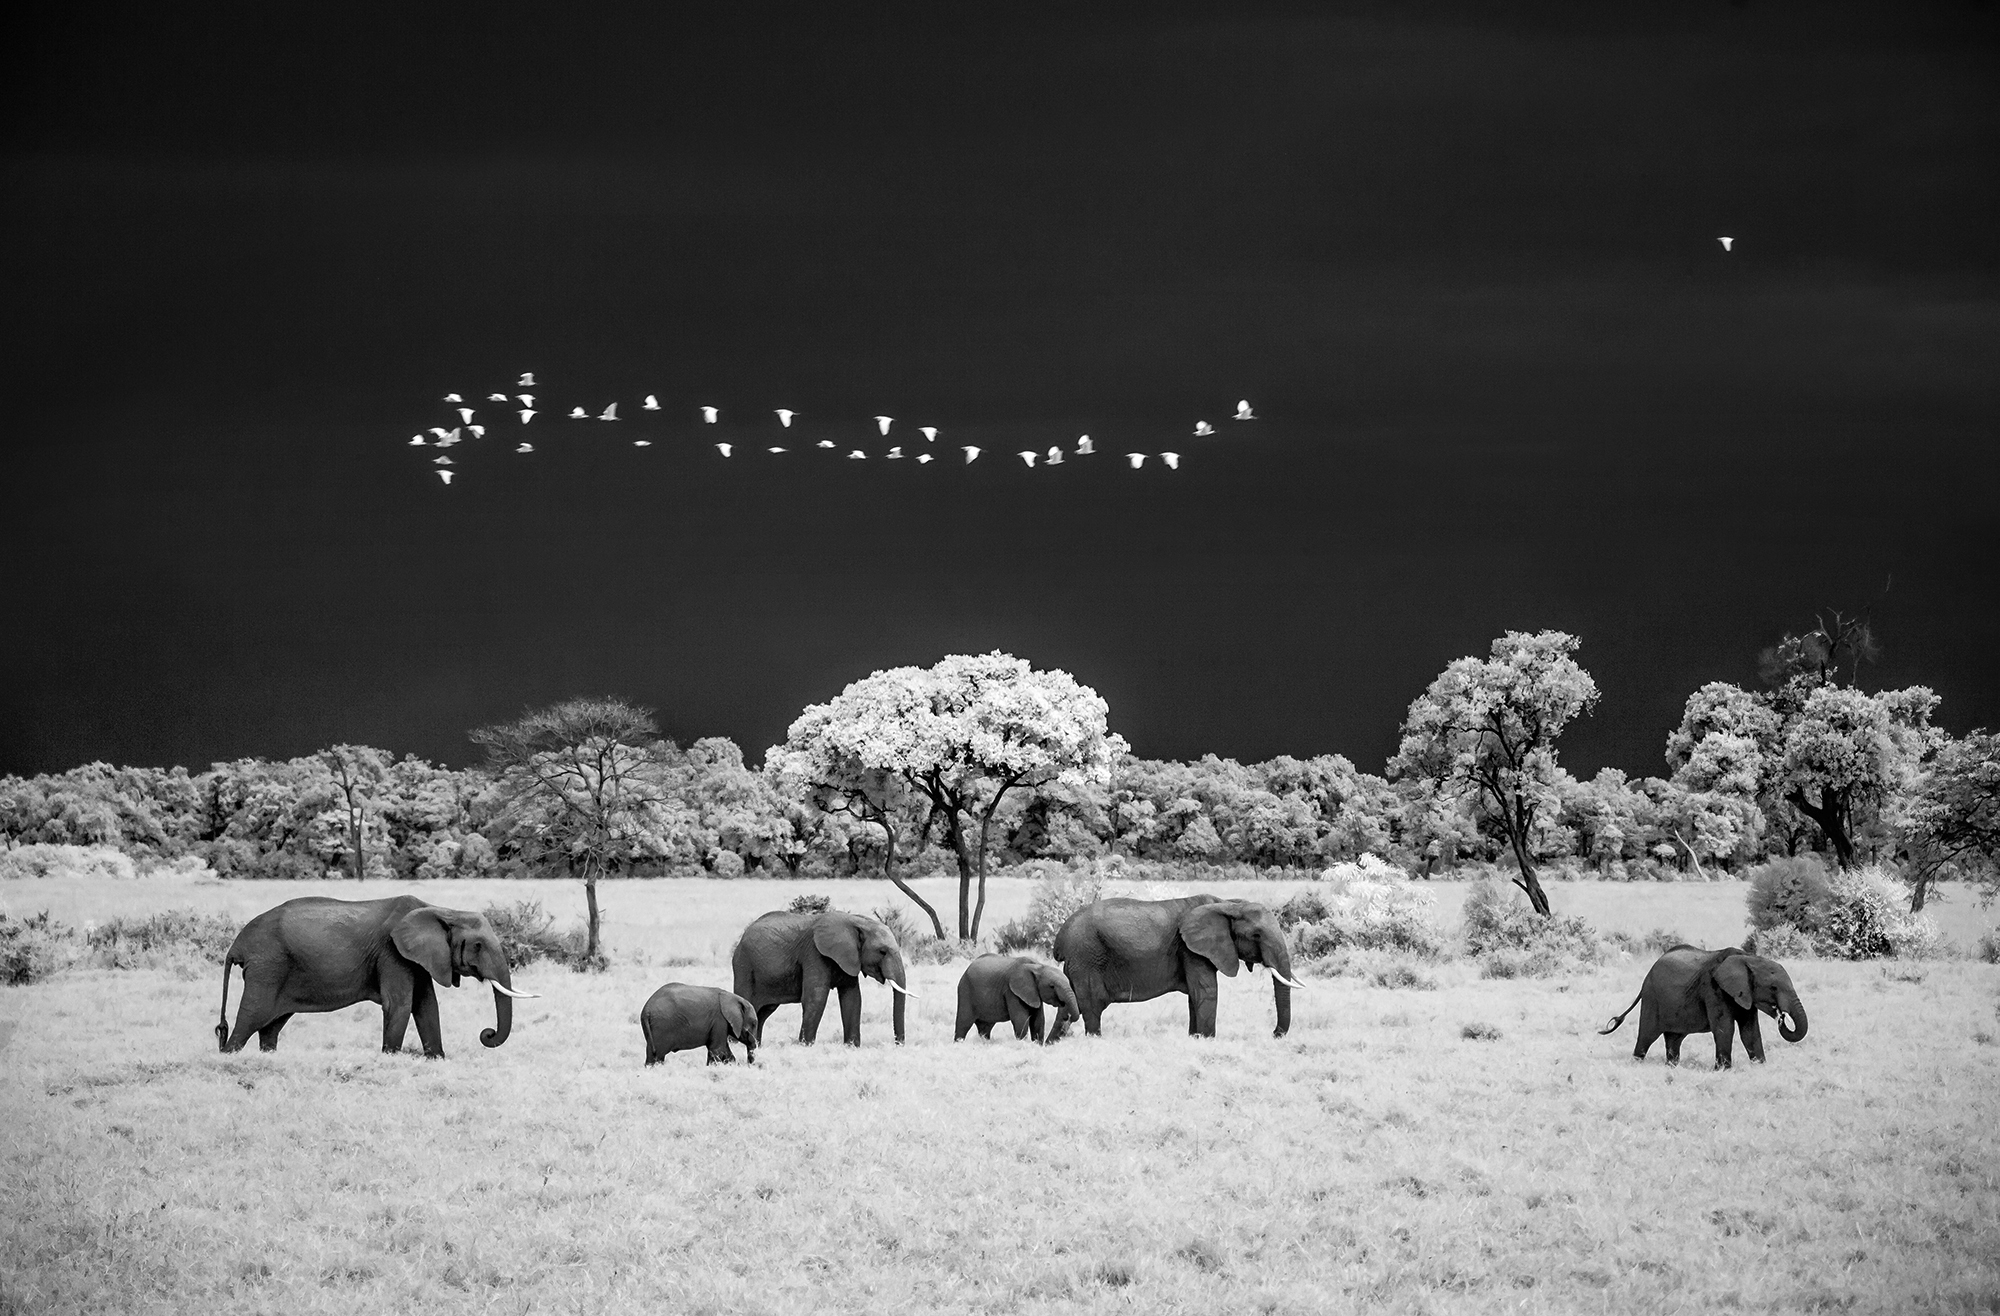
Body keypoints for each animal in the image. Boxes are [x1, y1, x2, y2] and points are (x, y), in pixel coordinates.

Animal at [216, 892, 536, 1056]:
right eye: (478, 946)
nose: (487, 1033)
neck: (442, 910)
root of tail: (236, 945)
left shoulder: (417, 957)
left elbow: (426, 1005)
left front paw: (435, 1059)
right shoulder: (392, 953)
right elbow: (401, 1005)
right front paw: (390, 1057)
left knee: (272, 1024)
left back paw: (268, 1057)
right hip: (267, 966)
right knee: (251, 1016)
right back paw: (229, 1057)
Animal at [728, 908, 916, 1040]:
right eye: (882, 951)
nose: (898, 1044)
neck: (856, 922)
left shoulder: (848, 958)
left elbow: (852, 998)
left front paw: (852, 1047)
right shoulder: (814, 954)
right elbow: (816, 997)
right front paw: (805, 1045)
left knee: (763, 1012)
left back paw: (756, 1045)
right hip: (744, 965)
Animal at [952, 948, 1080, 1040]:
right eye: (1052, 986)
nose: (1067, 1017)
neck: (1038, 967)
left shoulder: (1034, 993)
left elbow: (1038, 1020)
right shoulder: (1012, 991)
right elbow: (1020, 1020)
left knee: (985, 1028)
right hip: (965, 990)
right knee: (963, 1023)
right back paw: (959, 1042)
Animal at [1056, 892, 1304, 1032]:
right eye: (1256, 935)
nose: (1274, 1034)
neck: (1228, 904)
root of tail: (1061, 937)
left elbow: (1195, 996)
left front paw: (1195, 1038)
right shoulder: (1191, 950)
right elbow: (1206, 992)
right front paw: (1206, 1039)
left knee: (1068, 1006)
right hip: (1086, 958)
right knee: (1092, 1008)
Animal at [1592, 936, 1816, 1064]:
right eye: (1773, 988)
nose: (1781, 1016)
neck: (1748, 958)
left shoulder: (1745, 995)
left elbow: (1750, 1031)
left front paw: (1759, 1065)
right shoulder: (1714, 990)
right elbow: (1725, 1028)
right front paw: (1723, 1070)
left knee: (1674, 1038)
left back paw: (1672, 1066)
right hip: (1652, 997)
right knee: (1647, 1035)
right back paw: (1637, 1062)